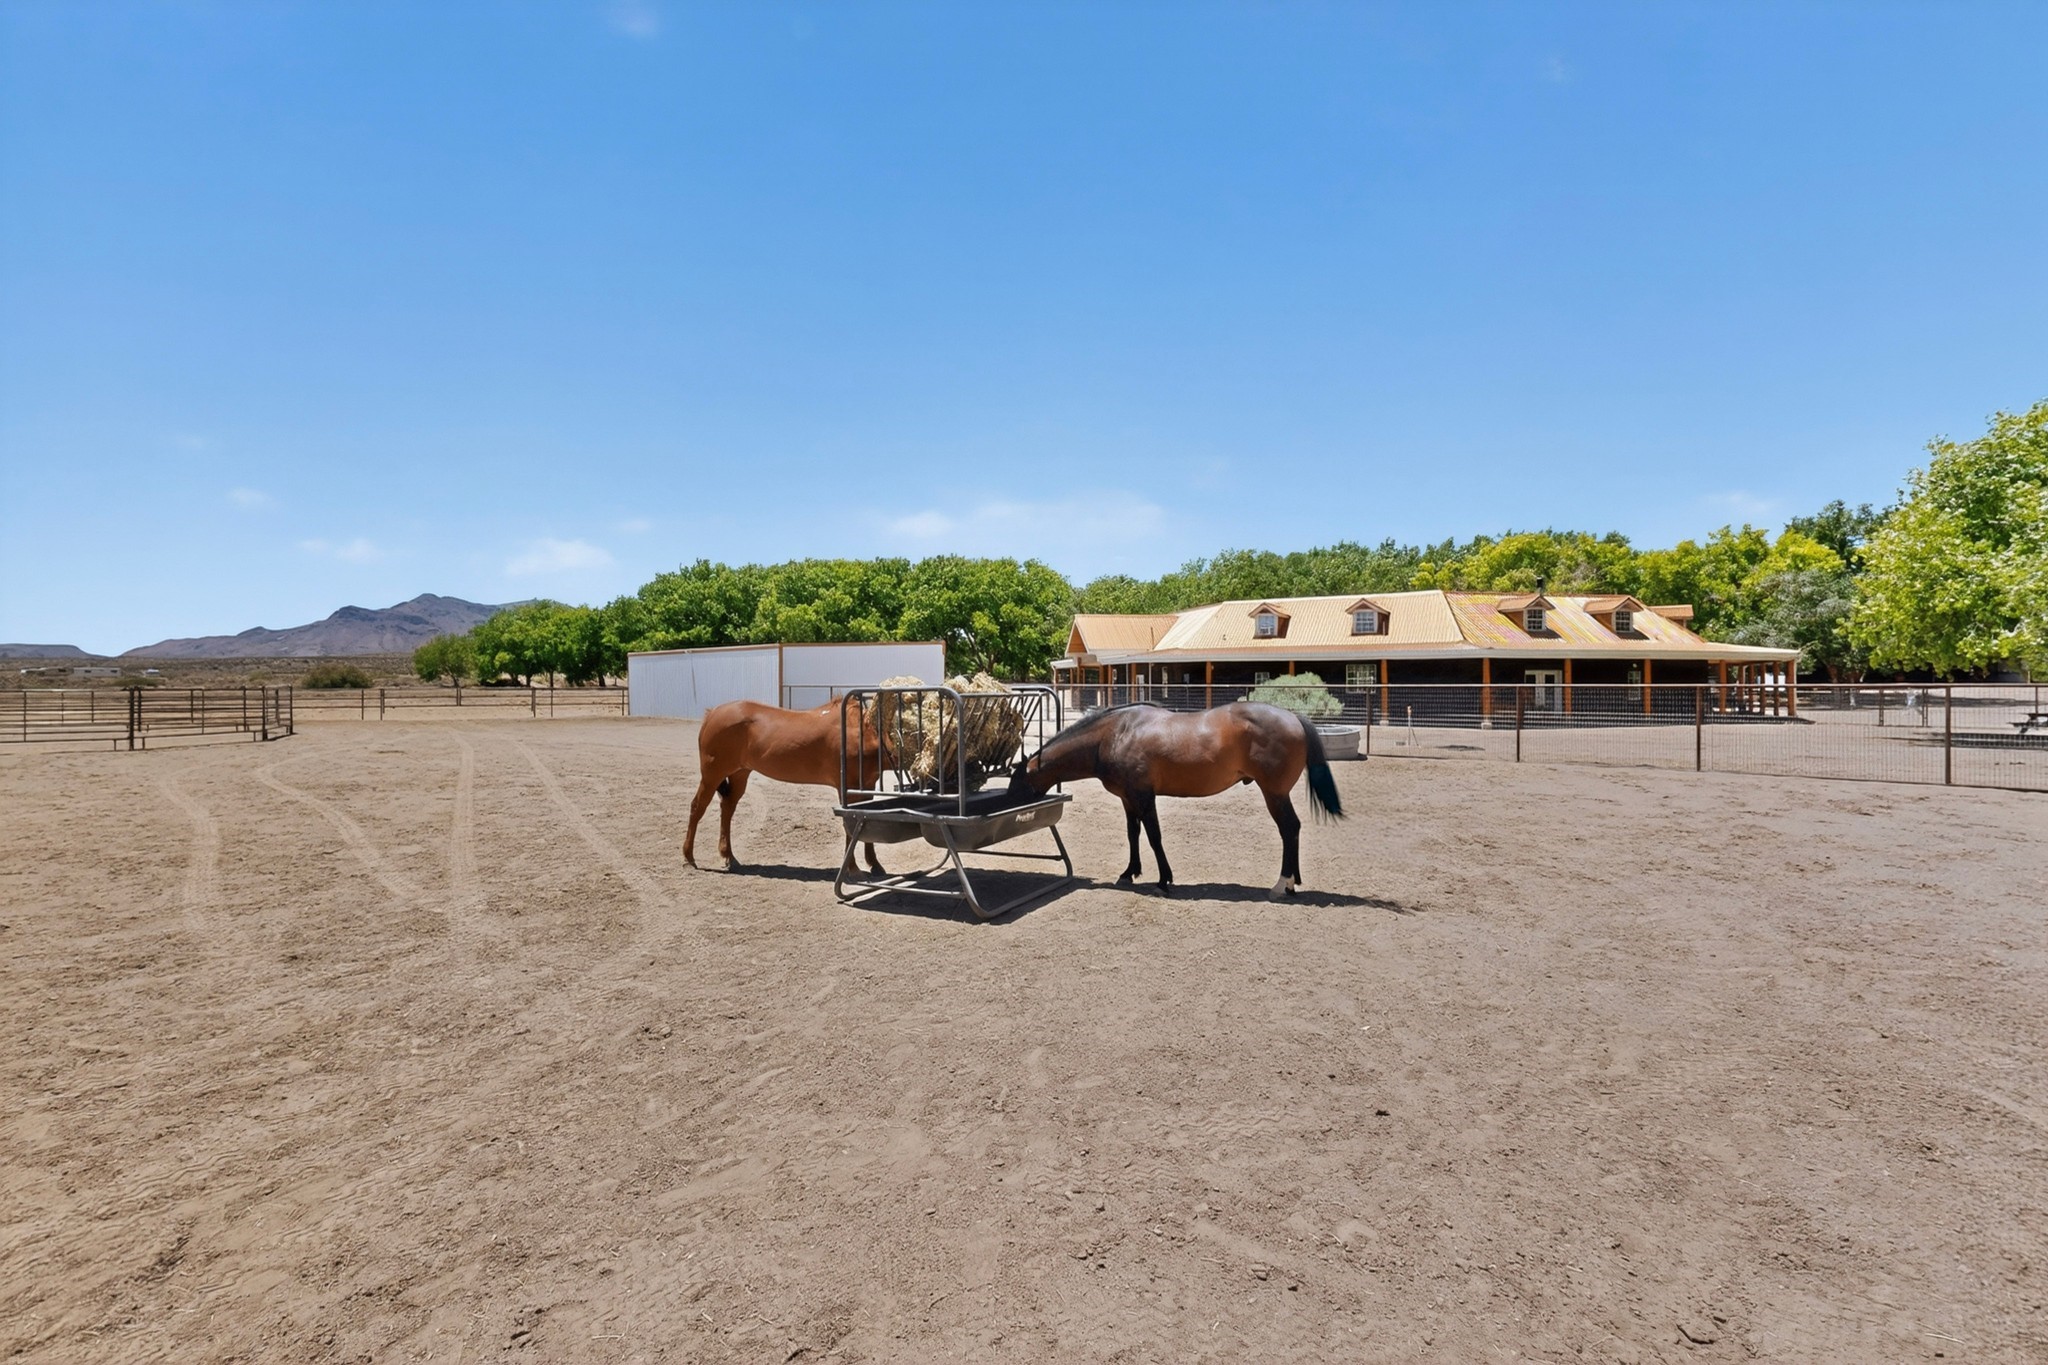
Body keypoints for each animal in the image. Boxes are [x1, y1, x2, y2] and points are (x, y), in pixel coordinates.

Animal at [683, 698, 889, 874]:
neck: (863, 733)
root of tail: (712, 714)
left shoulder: (866, 786)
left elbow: (868, 820)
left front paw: (874, 864)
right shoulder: (848, 788)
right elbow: (852, 825)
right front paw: (852, 867)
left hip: (739, 773)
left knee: (727, 808)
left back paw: (729, 856)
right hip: (712, 775)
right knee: (697, 807)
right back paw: (688, 858)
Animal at [1007, 701, 1343, 898]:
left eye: (1016, 781)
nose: (1010, 804)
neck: (1115, 734)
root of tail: (1293, 717)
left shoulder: (1144, 796)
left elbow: (1154, 836)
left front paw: (1163, 880)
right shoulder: (1128, 798)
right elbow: (1133, 834)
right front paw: (1129, 873)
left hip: (1273, 792)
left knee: (1288, 829)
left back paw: (1282, 884)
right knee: (1294, 829)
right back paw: (1293, 882)